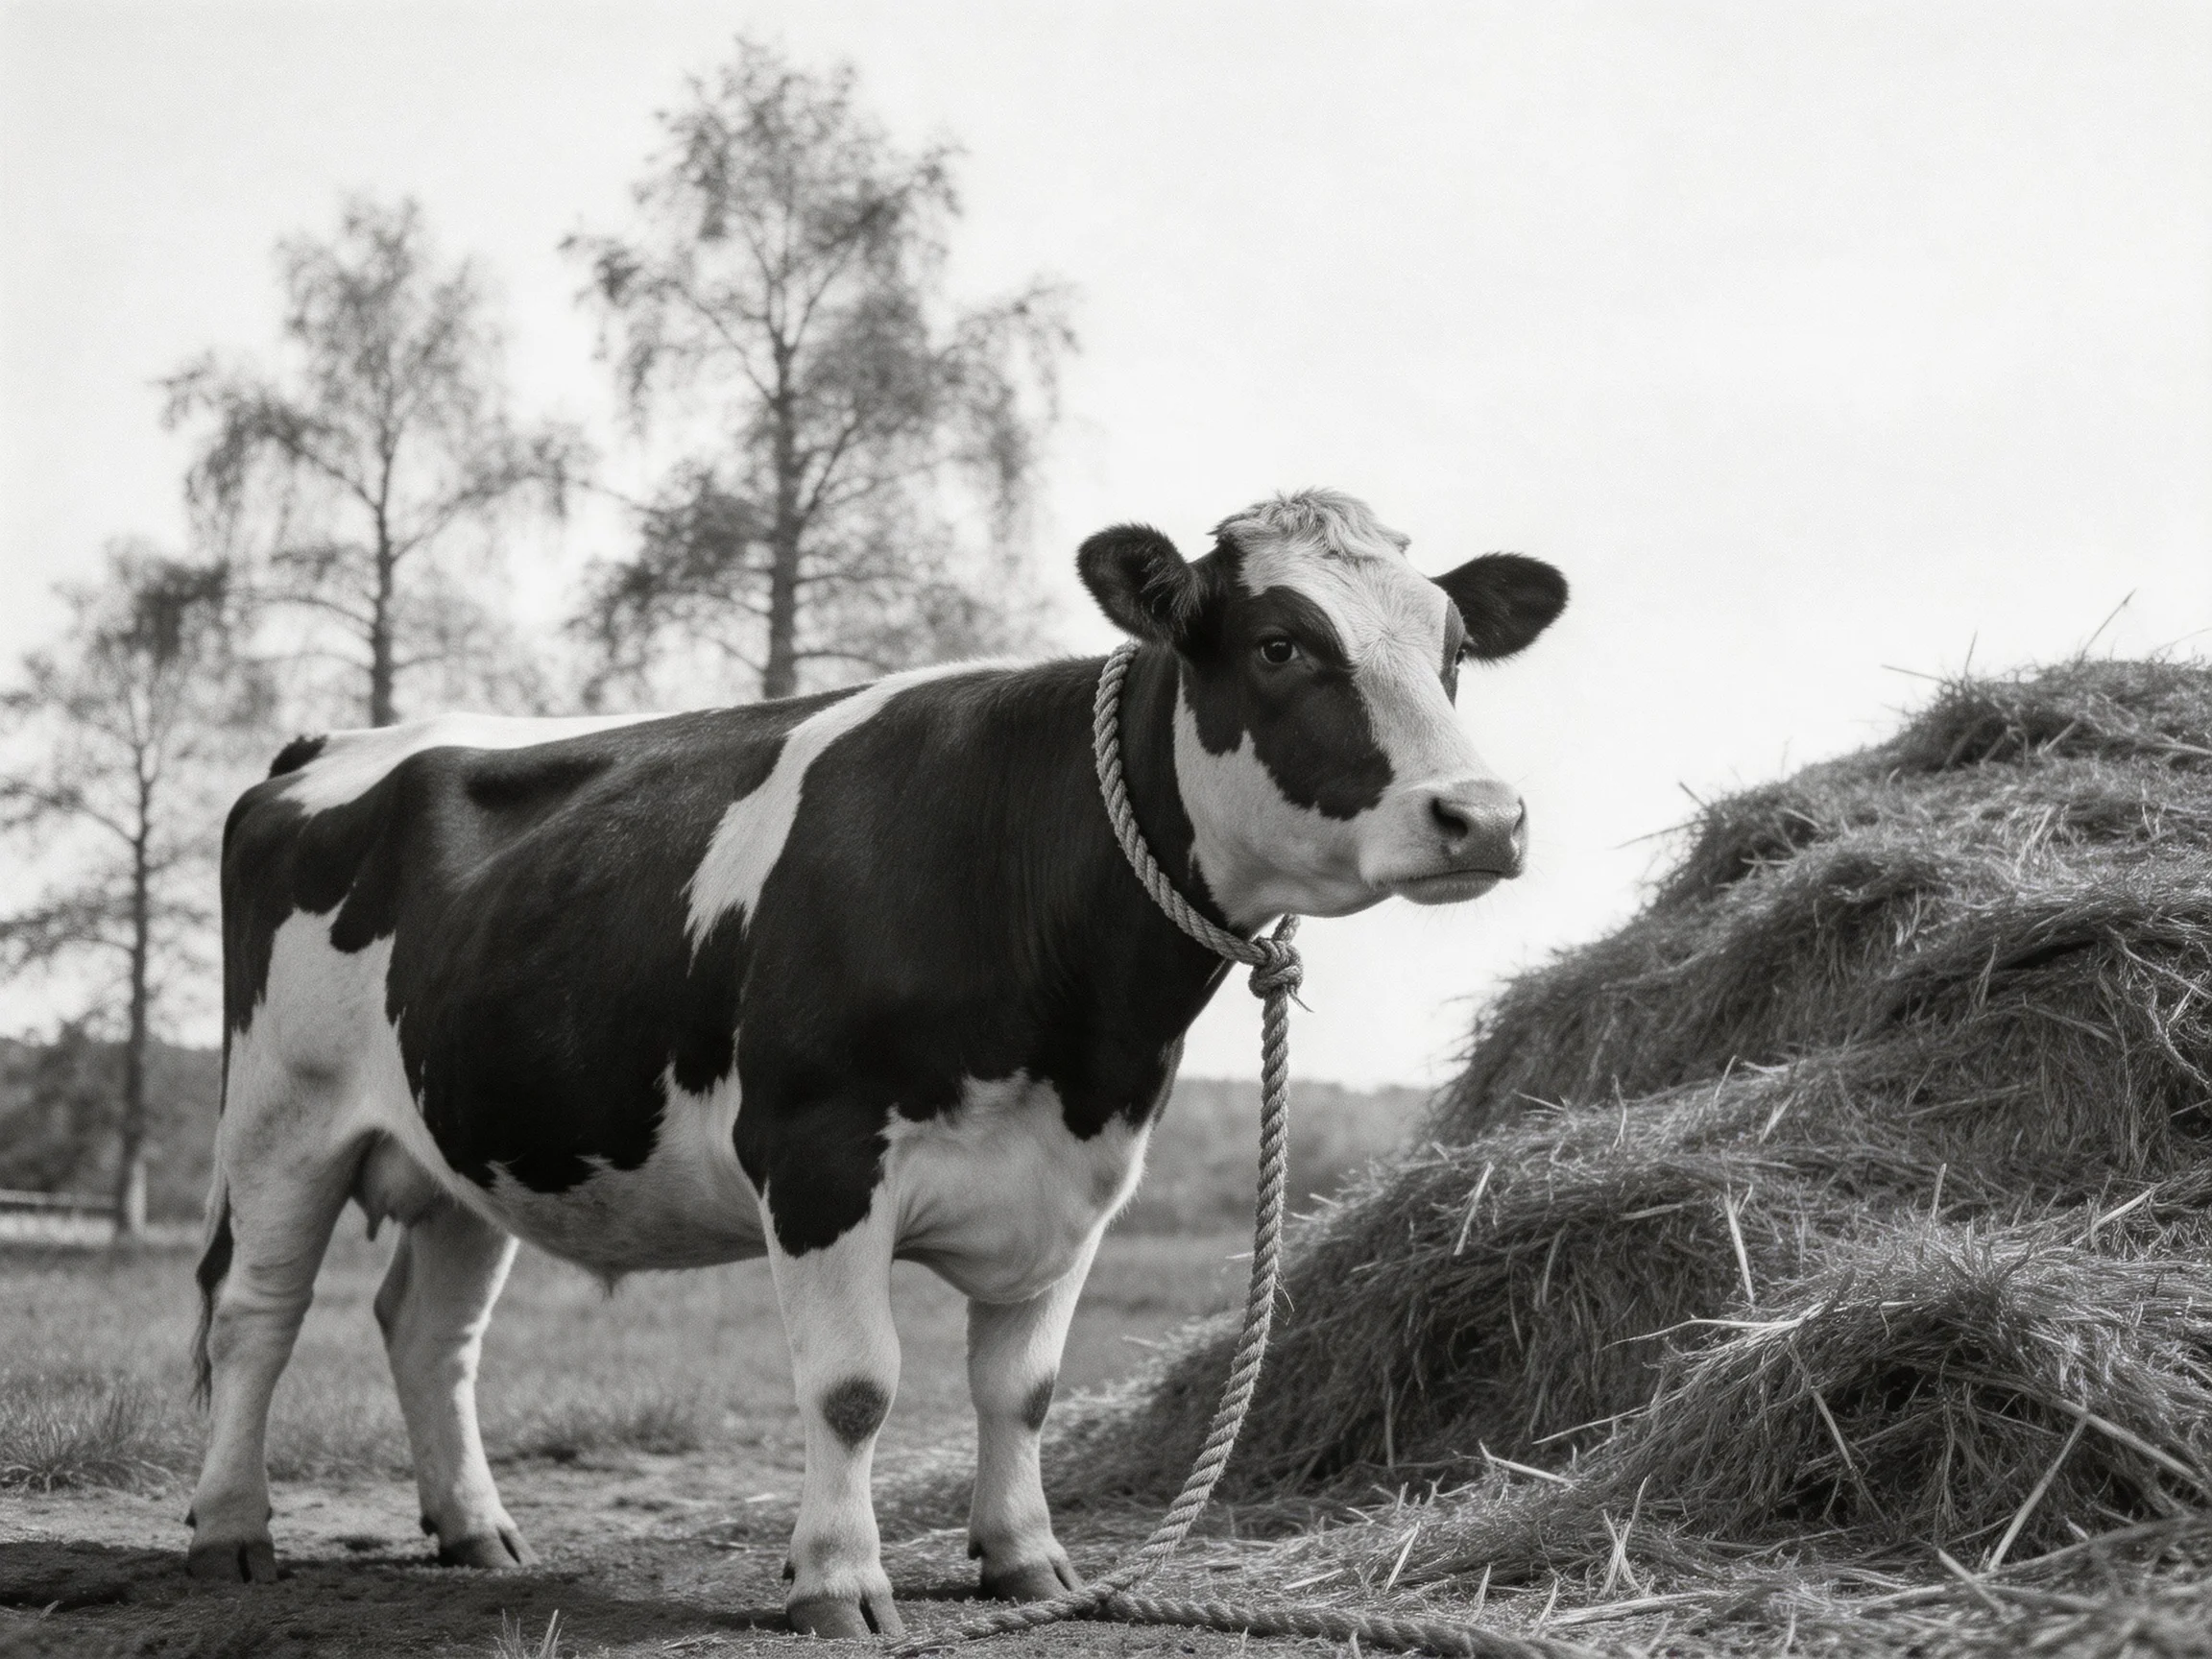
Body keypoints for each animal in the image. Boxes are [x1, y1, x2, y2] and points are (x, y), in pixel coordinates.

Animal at [185, 488, 1566, 1637]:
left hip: (470, 1144)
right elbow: (855, 1389)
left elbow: (1024, 1390)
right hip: (281, 1118)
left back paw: (477, 1533)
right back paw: (228, 1532)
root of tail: (326, 748)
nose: (1485, 816)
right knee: (256, 1312)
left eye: (1452, 652)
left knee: (430, 1330)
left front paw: (1027, 1564)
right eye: (1280, 644)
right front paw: (839, 1585)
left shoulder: (1082, 1174)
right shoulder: (818, 1152)